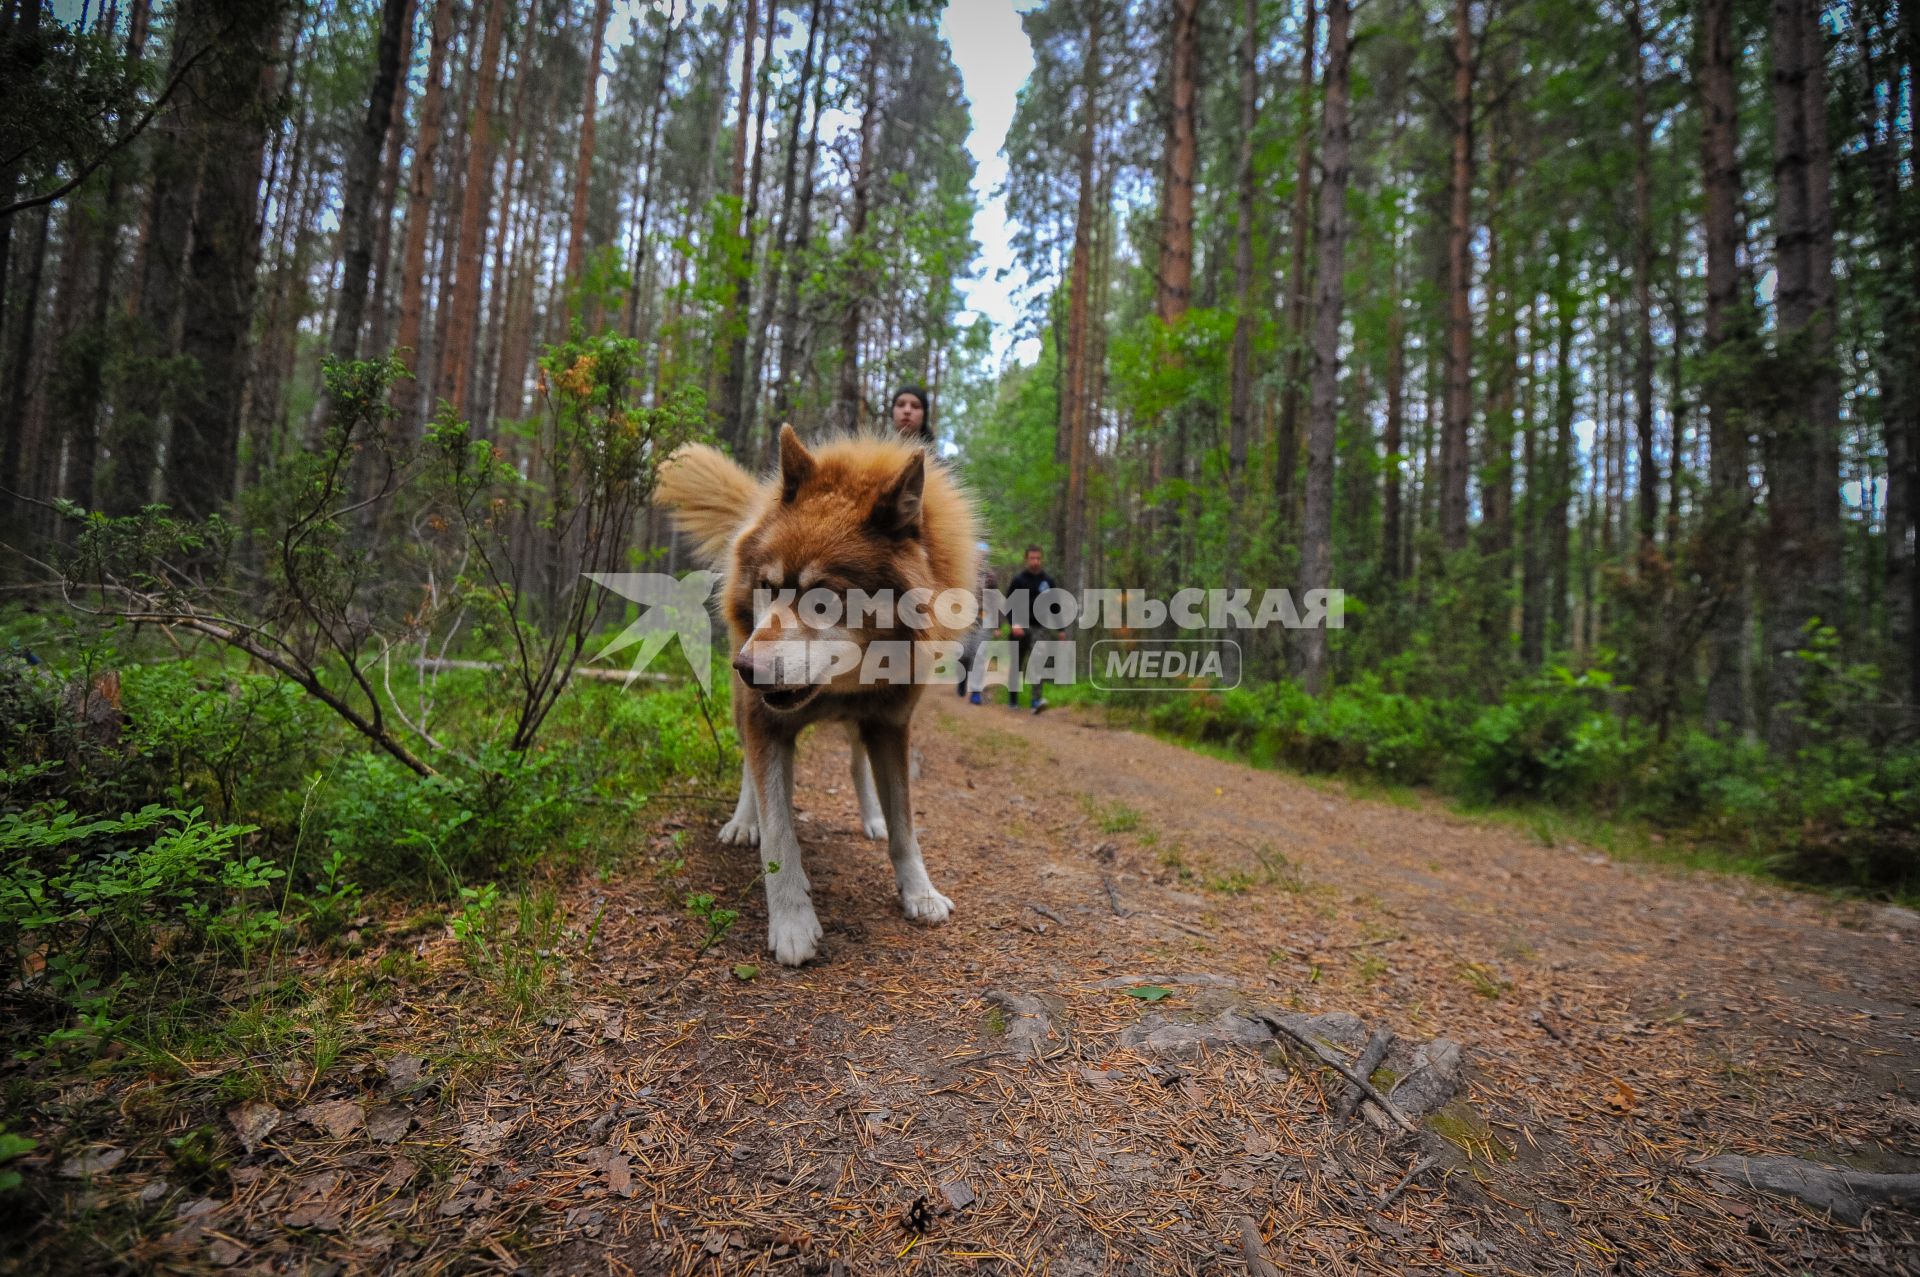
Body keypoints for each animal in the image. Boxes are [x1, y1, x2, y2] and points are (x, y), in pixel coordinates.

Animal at [656, 422, 975, 960]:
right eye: (768, 586)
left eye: (823, 598)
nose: (746, 668)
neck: (839, 689)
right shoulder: (765, 722)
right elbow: (779, 835)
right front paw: (792, 923)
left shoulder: (889, 726)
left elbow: (905, 826)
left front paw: (919, 892)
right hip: (744, 710)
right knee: (750, 770)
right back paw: (744, 821)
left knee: (855, 764)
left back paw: (871, 817)